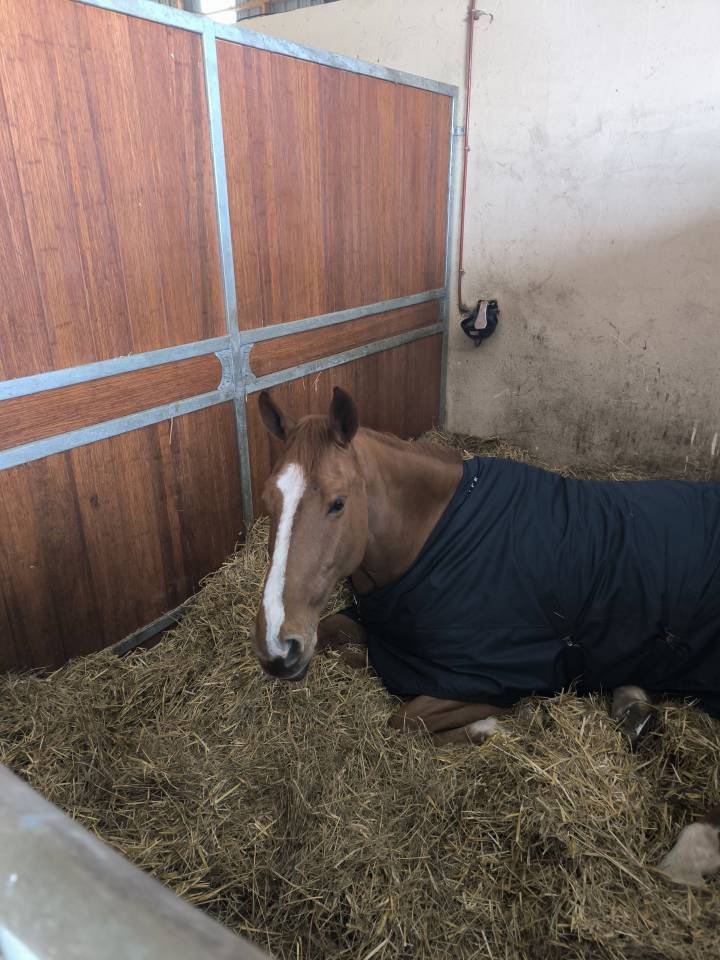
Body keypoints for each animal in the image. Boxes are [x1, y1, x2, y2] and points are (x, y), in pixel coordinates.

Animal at [251, 386, 720, 886]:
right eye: (268, 500)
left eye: (338, 503)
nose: (277, 646)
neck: (432, 535)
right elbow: (341, 641)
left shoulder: (485, 677)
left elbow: (404, 719)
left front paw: (493, 726)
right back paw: (634, 707)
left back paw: (689, 855)